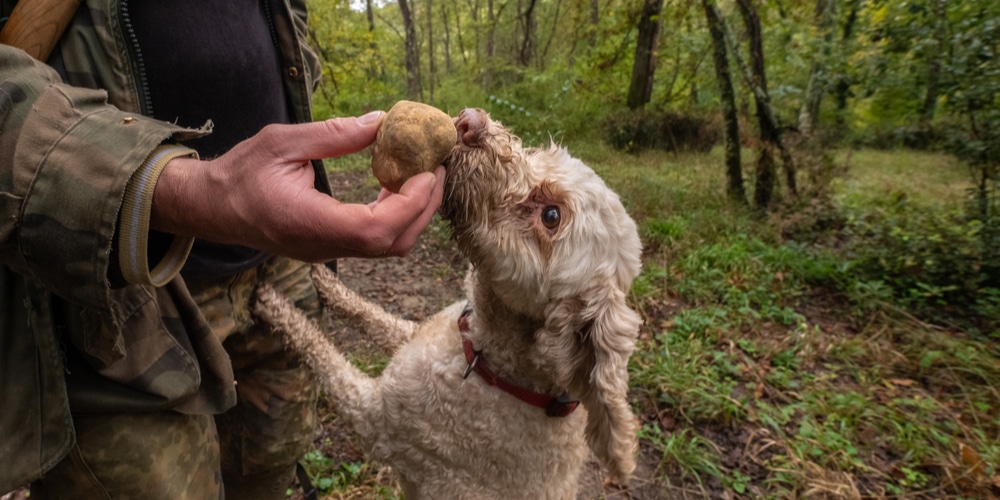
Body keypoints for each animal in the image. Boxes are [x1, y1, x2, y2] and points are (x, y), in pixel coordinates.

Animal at [254, 107, 644, 498]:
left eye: (551, 216)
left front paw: (272, 303)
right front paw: (323, 280)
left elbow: (320, 353)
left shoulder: (376, 418)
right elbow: (369, 314)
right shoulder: (414, 334)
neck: (485, 360)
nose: (471, 122)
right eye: (538, 153)